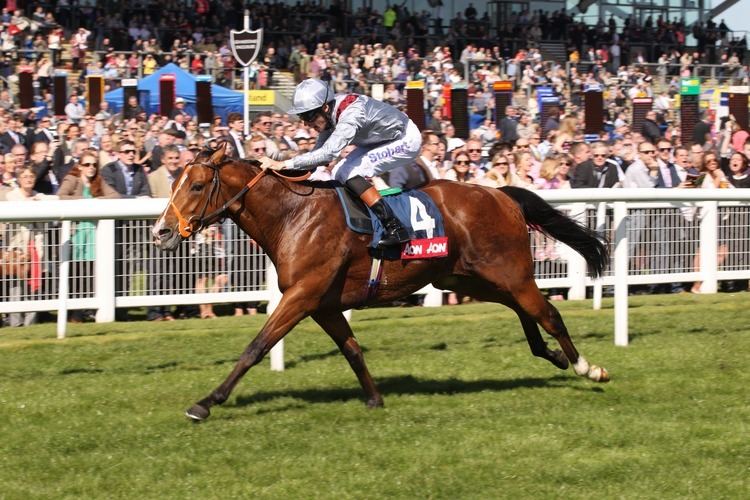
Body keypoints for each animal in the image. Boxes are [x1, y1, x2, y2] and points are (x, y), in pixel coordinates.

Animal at [151, 145, 612, 422]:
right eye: (173, 183)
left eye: (196, 185)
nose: (161, 232)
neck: (292, 217)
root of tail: (501, 194)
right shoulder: (323, 304)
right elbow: (352, 349)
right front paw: (374, 398)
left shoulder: (302, 295)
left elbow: (256, 347)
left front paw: (206, 403)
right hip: (470, 277)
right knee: (525, 312)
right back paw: (553, 356)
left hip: (509, 271)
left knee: (547, 312)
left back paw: (589, 368)